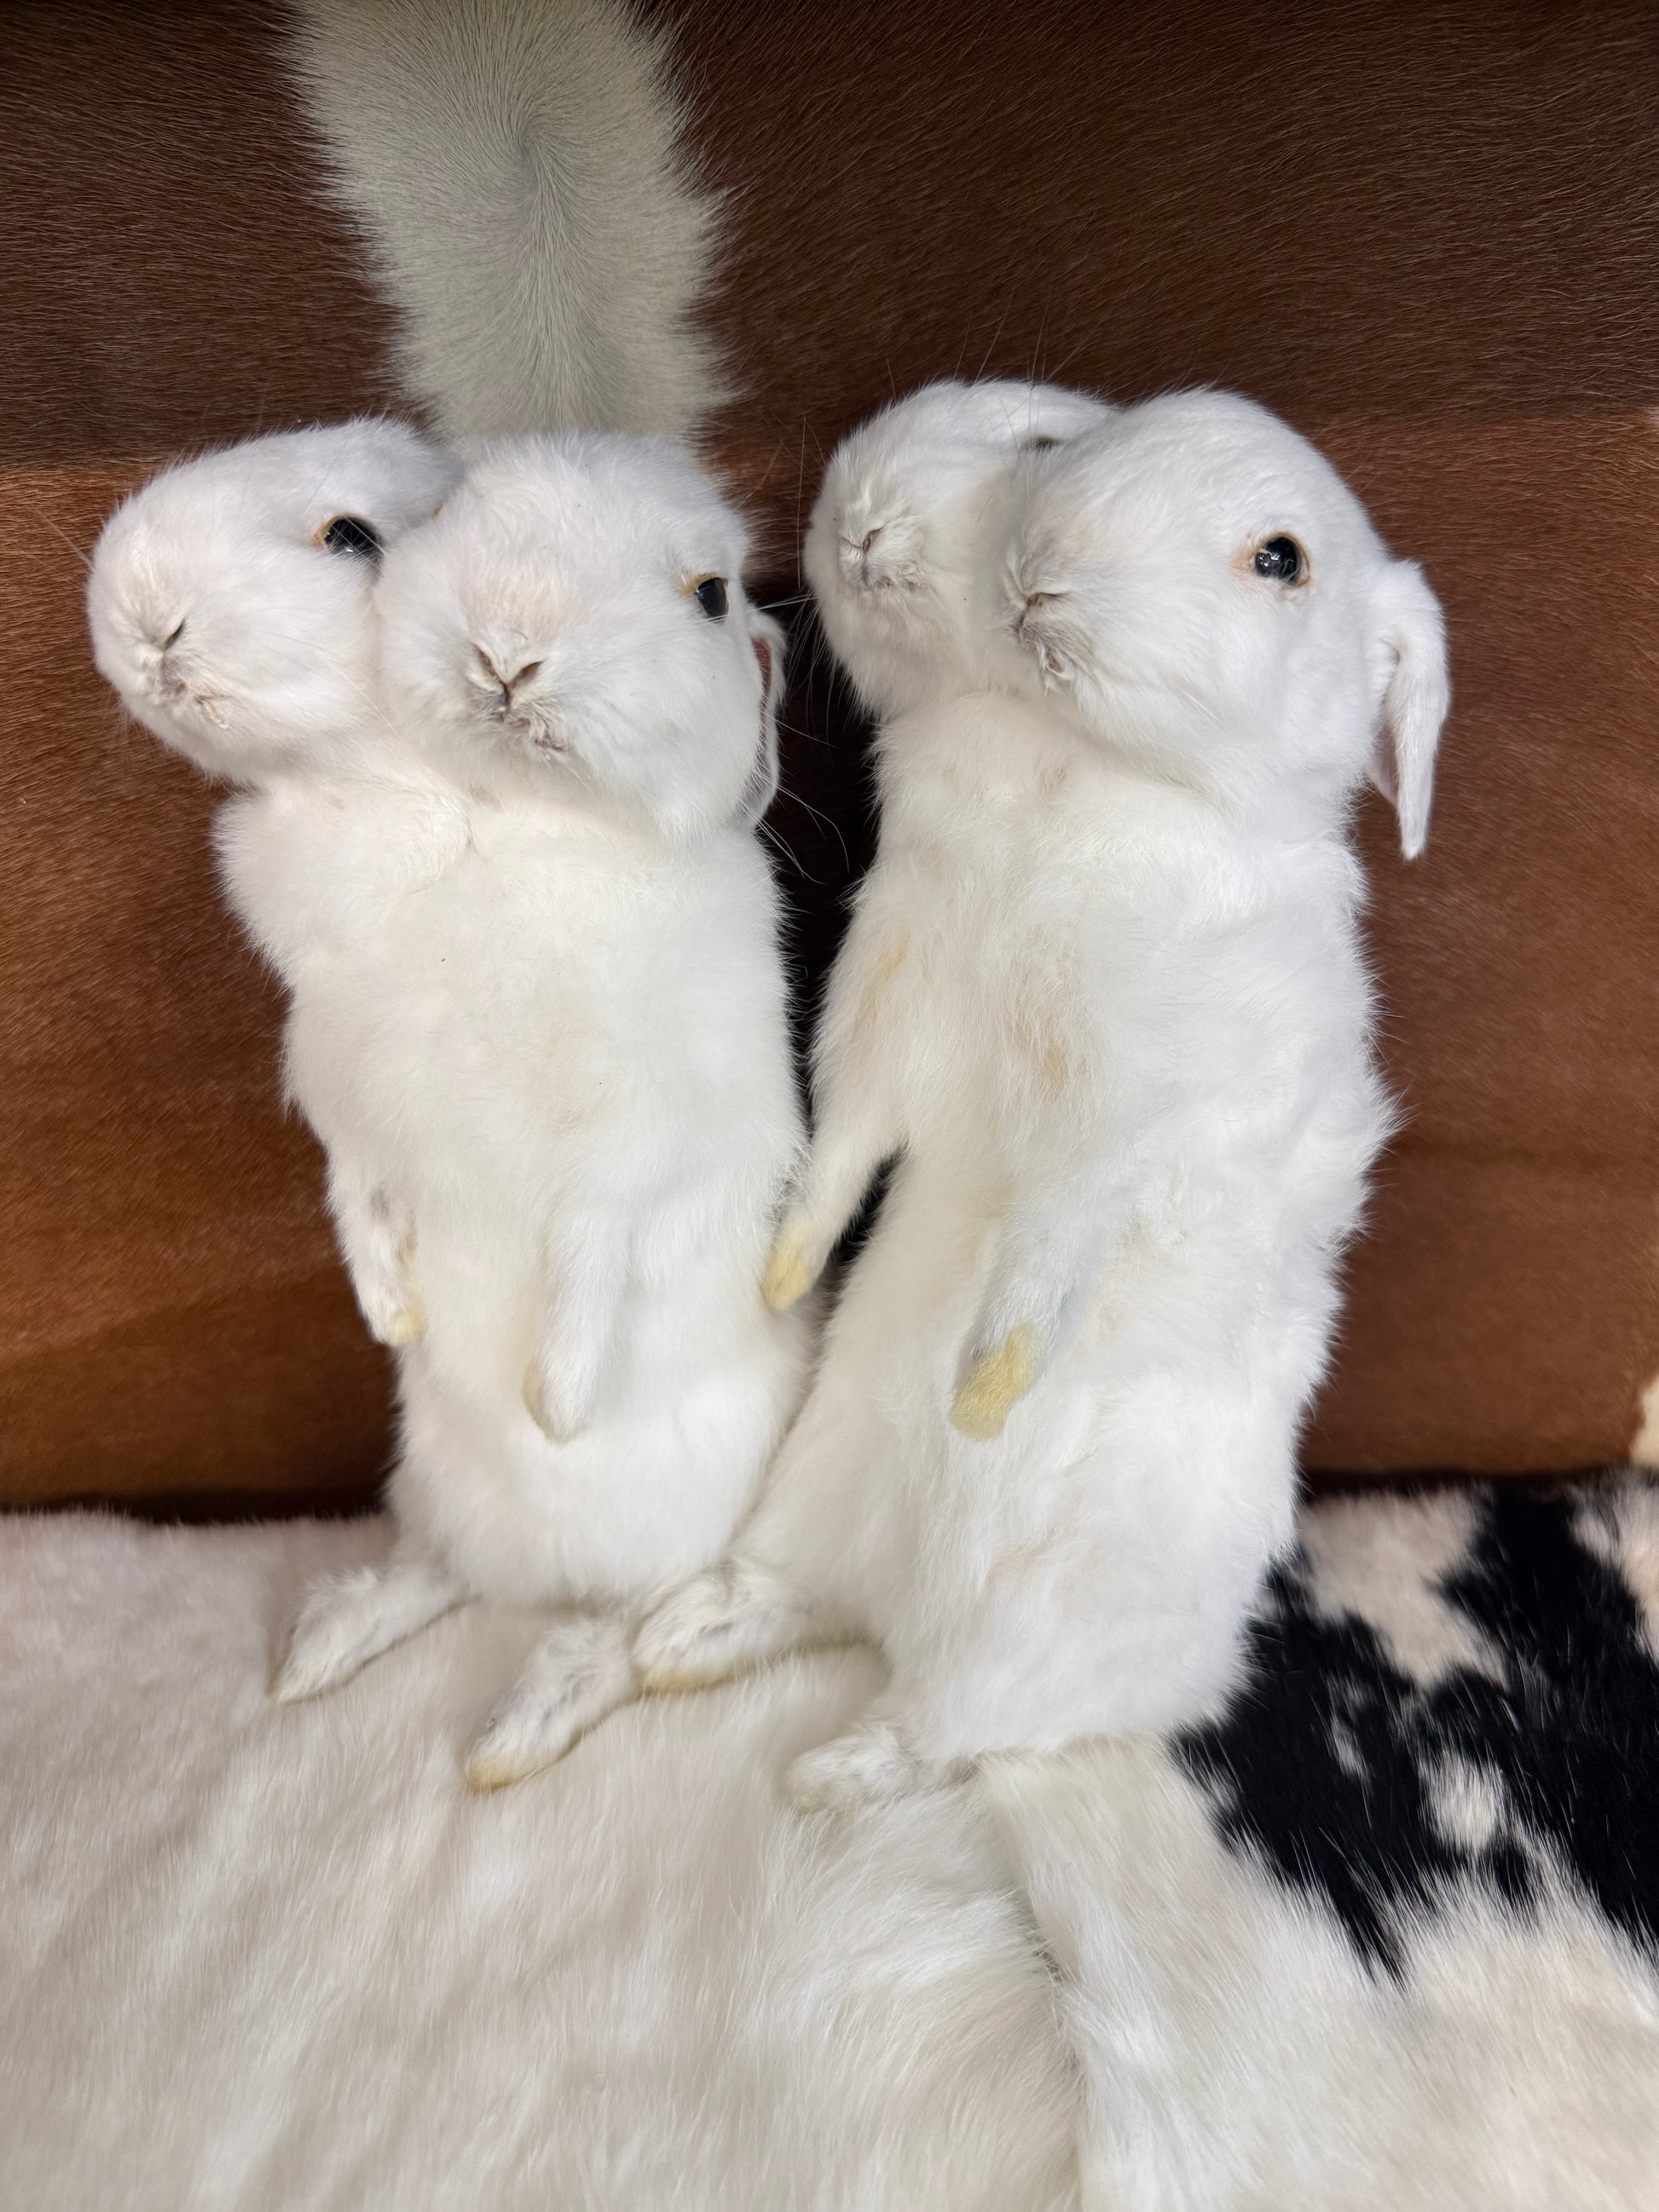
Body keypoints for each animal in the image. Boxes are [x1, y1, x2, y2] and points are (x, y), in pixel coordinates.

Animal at [270, 431, 809, 1788]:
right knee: (441, 1575)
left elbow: (587, 1258)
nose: (507, 646)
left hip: (685, 1532)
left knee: (622, 1637)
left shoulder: (627, 1157)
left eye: (711, 593)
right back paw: (321, 1652)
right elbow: (357, 1203)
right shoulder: (357, 1123)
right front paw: (391, 1313)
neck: (537, 834)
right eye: (459, 510)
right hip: (433, 1482)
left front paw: (555, 1406)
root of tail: (547, 1569)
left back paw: (522, 1724)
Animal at [634, 385, 1448, 1811]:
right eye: (1070, 453)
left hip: (1019, 1640)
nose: (854, 515)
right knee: (798, 1596)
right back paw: (682, 1638)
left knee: (946, 1730)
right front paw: (785, 1274)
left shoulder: (1126, 1102)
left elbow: (1052, 1243)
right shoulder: (894, 996)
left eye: (1280, 558)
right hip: (810, 1489)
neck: (1073, 771)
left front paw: (983, 1391)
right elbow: (842, 1150)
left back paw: (827, 1772)